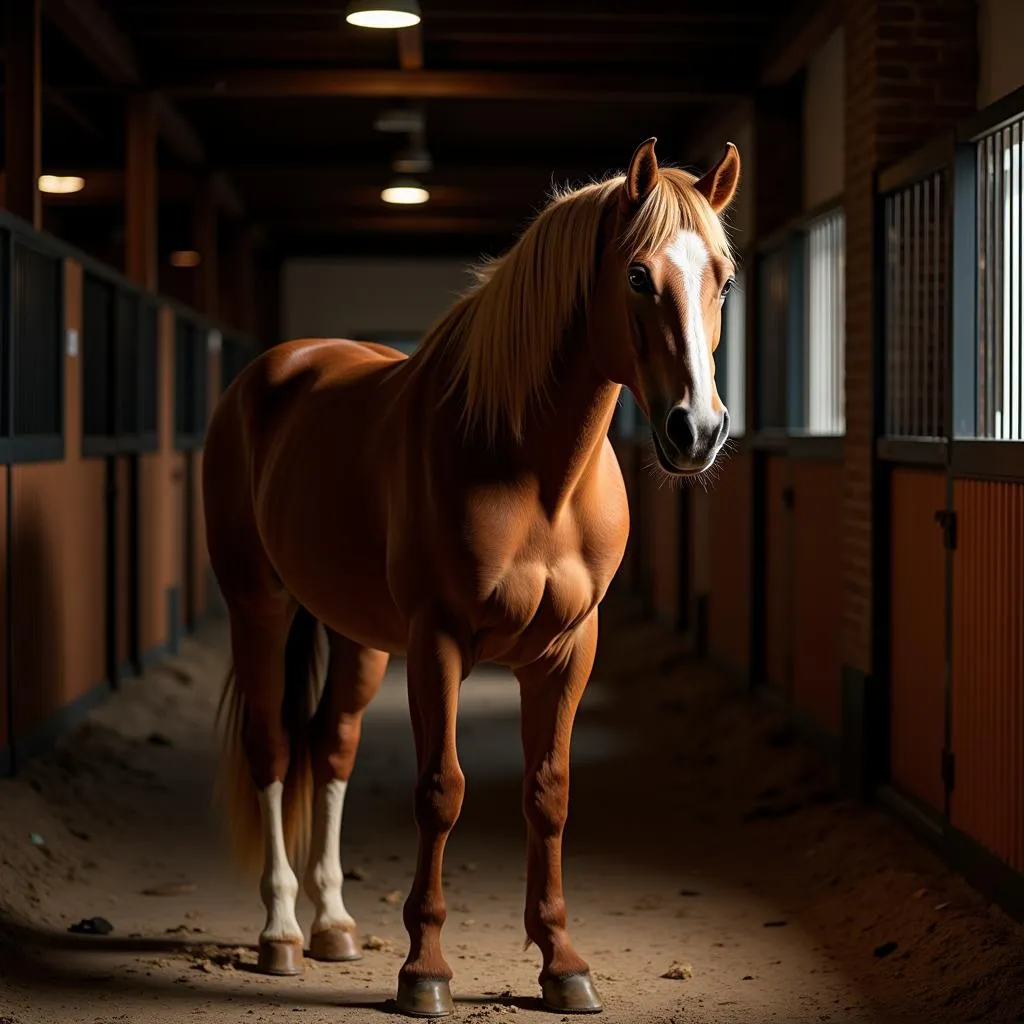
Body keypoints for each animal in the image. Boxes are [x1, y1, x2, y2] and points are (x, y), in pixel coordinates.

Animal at [203, 136, 741, 1015]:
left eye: (722, 280)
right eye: (636, 275)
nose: (696, 429)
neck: (533, 473)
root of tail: (279, 368)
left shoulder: (567, 650)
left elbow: (549, 792)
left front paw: (562, 963)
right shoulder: (439, 642)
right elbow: (440, 790)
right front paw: (424, 970)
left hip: (357, 635)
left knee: (334, 747)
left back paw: (334, 924)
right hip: (259, 605)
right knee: (274, 747)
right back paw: (280, 932)